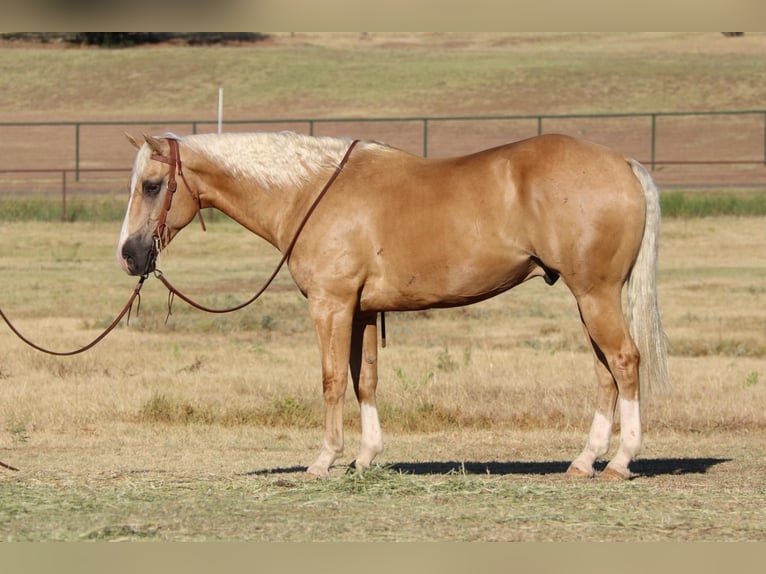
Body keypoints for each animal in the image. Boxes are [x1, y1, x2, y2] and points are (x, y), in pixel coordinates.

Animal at [117, 130, 668, 482]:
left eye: (151, 186)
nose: (129, 254)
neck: (311, 192)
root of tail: (622, 164)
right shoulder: (361, 312)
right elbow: (366, 380)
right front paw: (365, 457)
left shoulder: (332, 306)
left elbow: (332, 381)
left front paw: (324, 461)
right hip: (588, 297)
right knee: (605, 373)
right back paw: (584, 461)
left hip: (594, 294)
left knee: (624, 362)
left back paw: (621, 461)